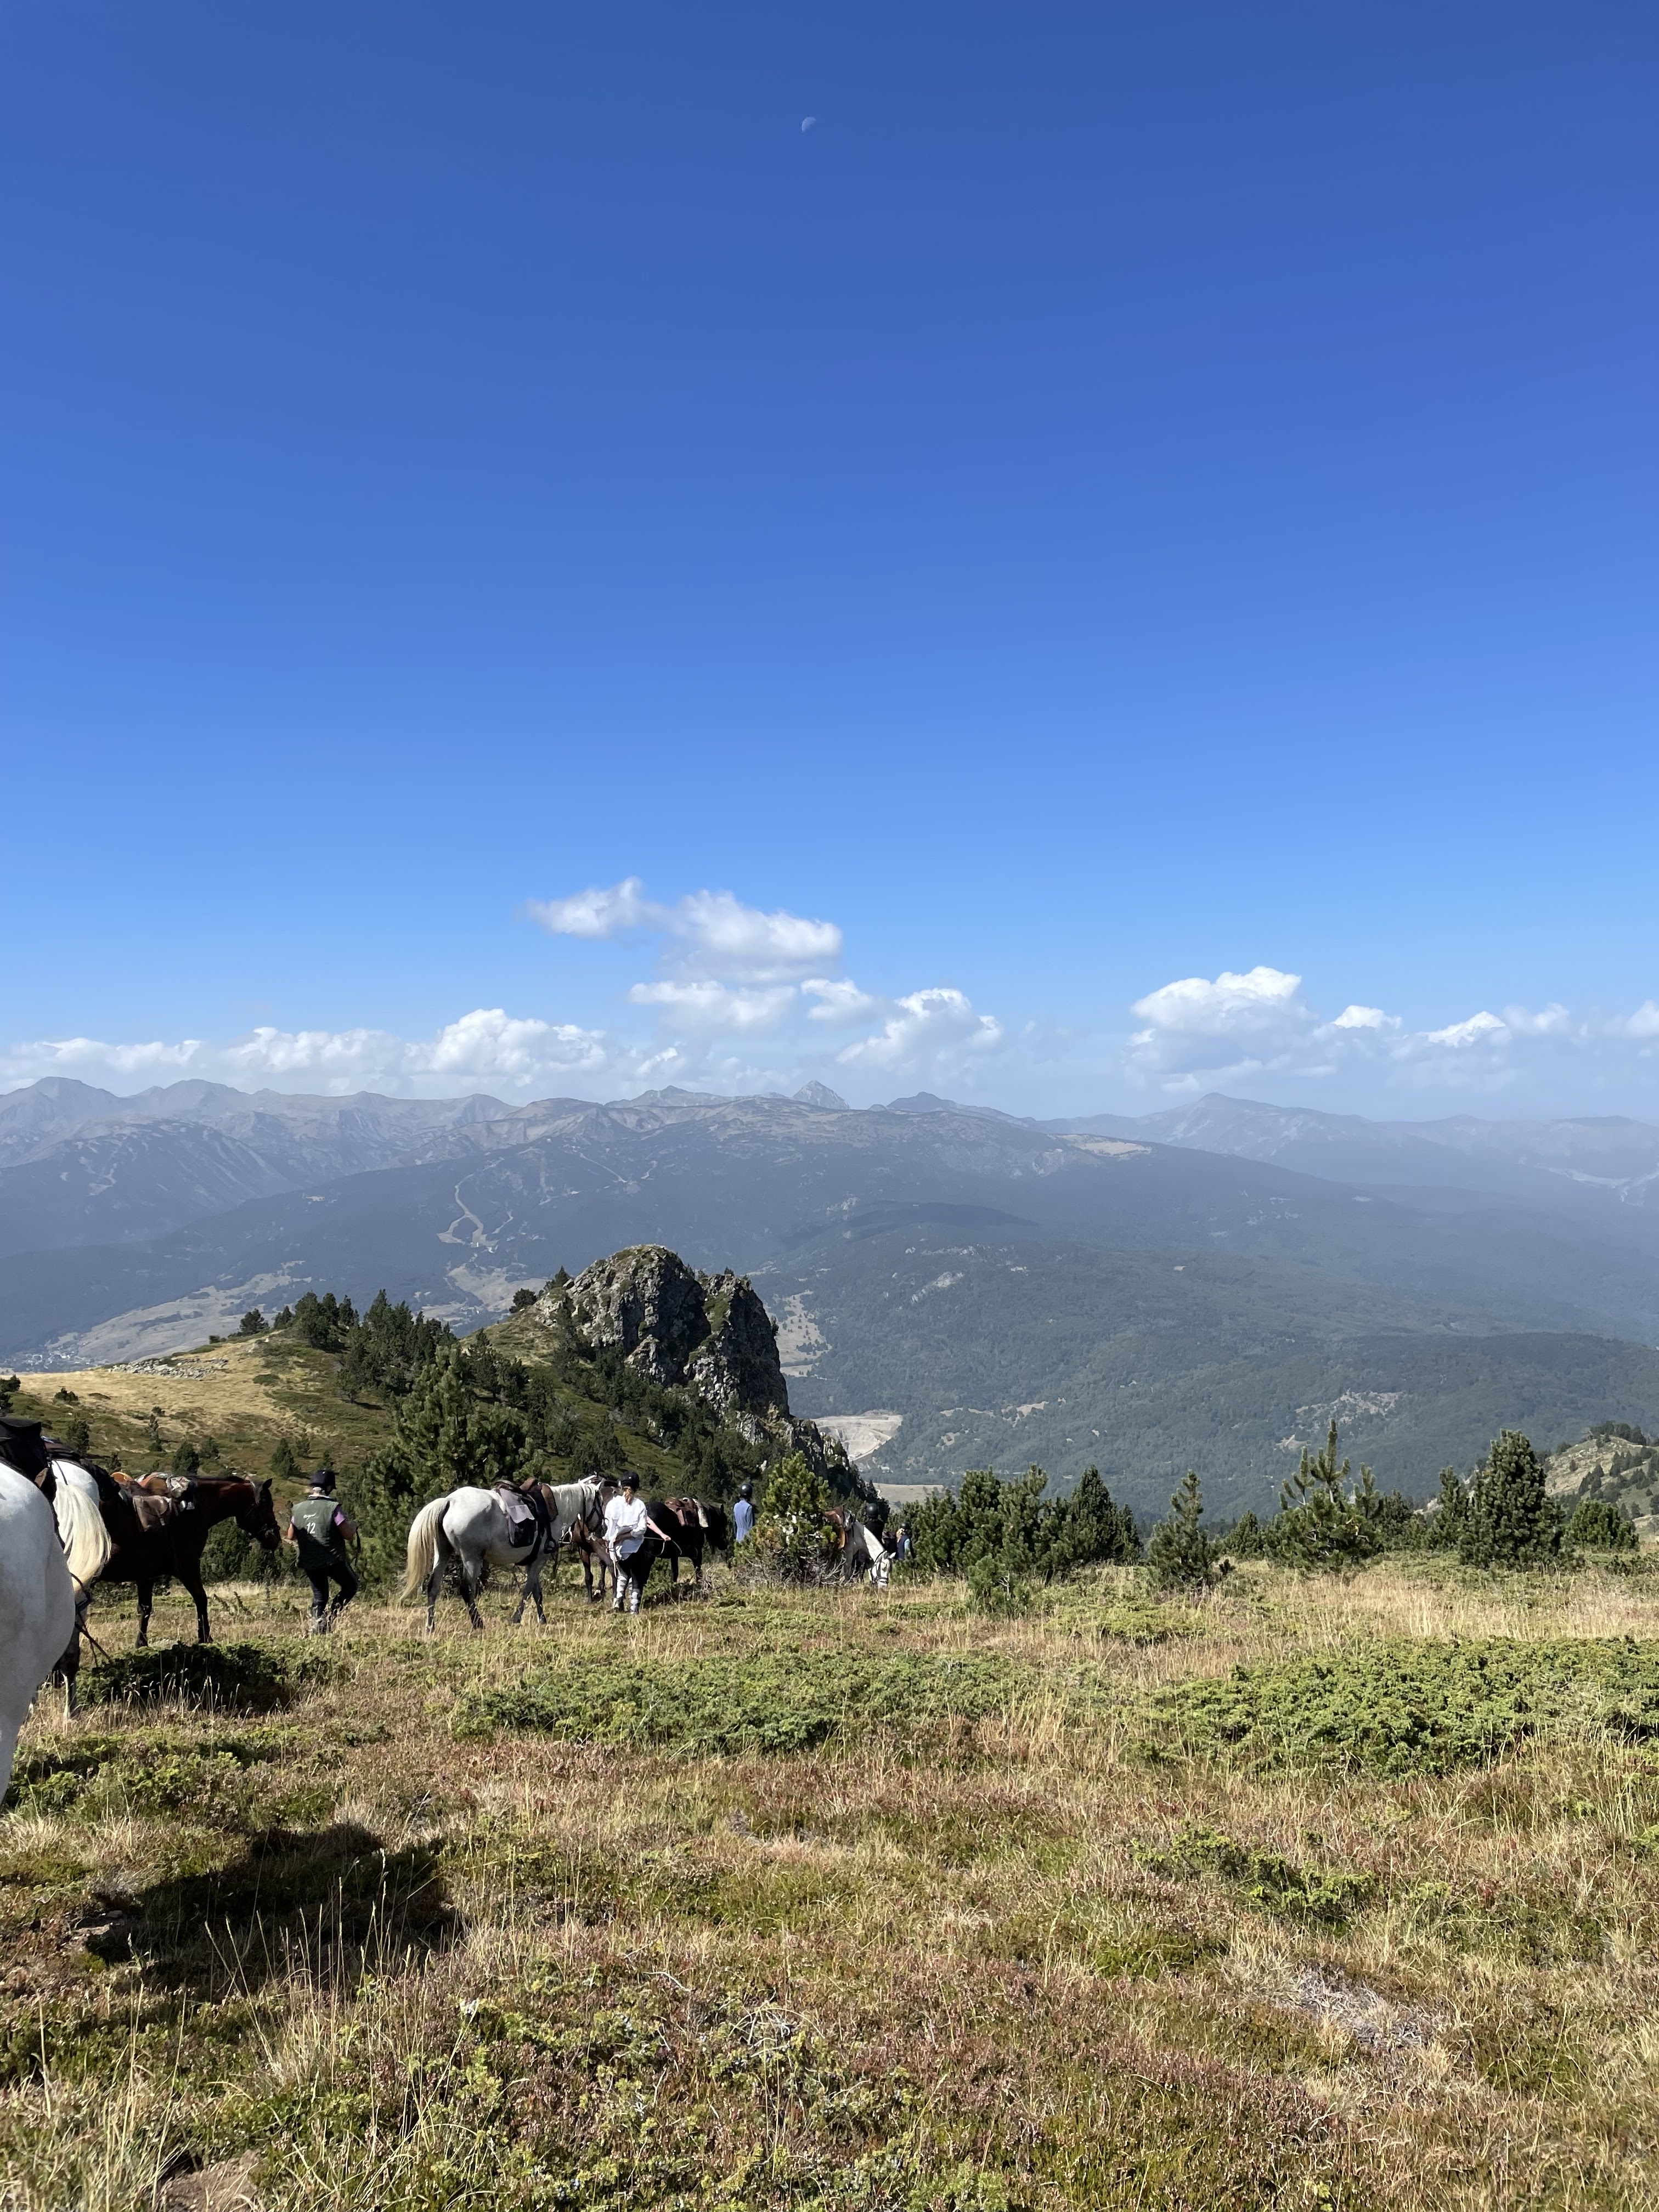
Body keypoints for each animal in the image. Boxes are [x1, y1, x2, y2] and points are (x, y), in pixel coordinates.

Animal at [84, 1468, 283, 1645]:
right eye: (267, 1503)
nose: (275, 1538)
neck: (191, 1509)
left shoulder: (146, 1574)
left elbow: (145, 1609)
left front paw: (141, 1644)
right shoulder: (187, 1567)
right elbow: (201, 1599)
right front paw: (205, 1638)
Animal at [403, 1475, 609, 1632]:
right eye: (599, 1503)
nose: (604, 1529)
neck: (556, 1509)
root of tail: (449, 1502)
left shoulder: (533, 1561)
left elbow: (537, 1593)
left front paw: (542, 1619)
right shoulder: (539, 1561)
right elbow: (528, 1590)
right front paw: (517, 1618)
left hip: (443, 1553)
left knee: (433, 1587)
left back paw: (430, 1626)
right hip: (472, 1558)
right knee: (466, 1589)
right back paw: (478, 1623)